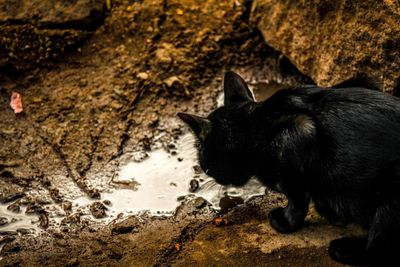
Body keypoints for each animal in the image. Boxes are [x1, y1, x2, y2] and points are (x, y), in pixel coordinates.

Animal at [180, 70, 400, 266]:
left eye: (203, 162)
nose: (210, 175)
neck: (255, 126)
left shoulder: (297, 133)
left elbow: (296, 199)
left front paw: (287, 221)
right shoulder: (365, 80)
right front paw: (330, 210)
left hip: (390, 192)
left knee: (381, 249)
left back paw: (345, 249)